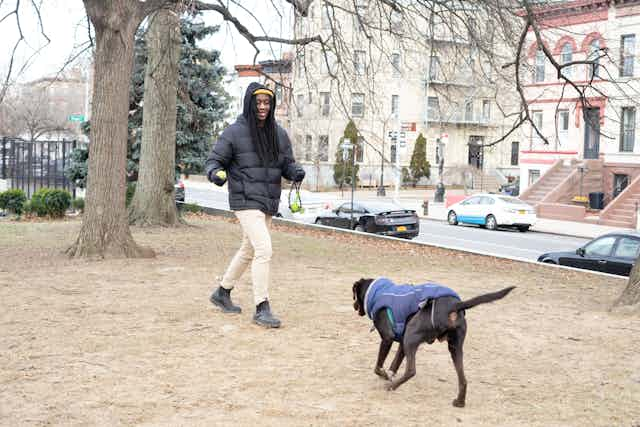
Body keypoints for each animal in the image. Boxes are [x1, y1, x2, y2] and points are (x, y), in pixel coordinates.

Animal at [350, 278, 516, 408]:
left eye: (354, 295)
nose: (353, 306)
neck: (378, 293)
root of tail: (453, 306)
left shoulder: (388, 338)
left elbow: (378, 366)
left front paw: (385, 376)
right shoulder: (402, 343)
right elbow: (395, 363)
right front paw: (389, 375)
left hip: (411, 335)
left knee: (411, 371)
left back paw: (391, 387)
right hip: (454, 347)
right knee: (463, 379)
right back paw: (459, 402)